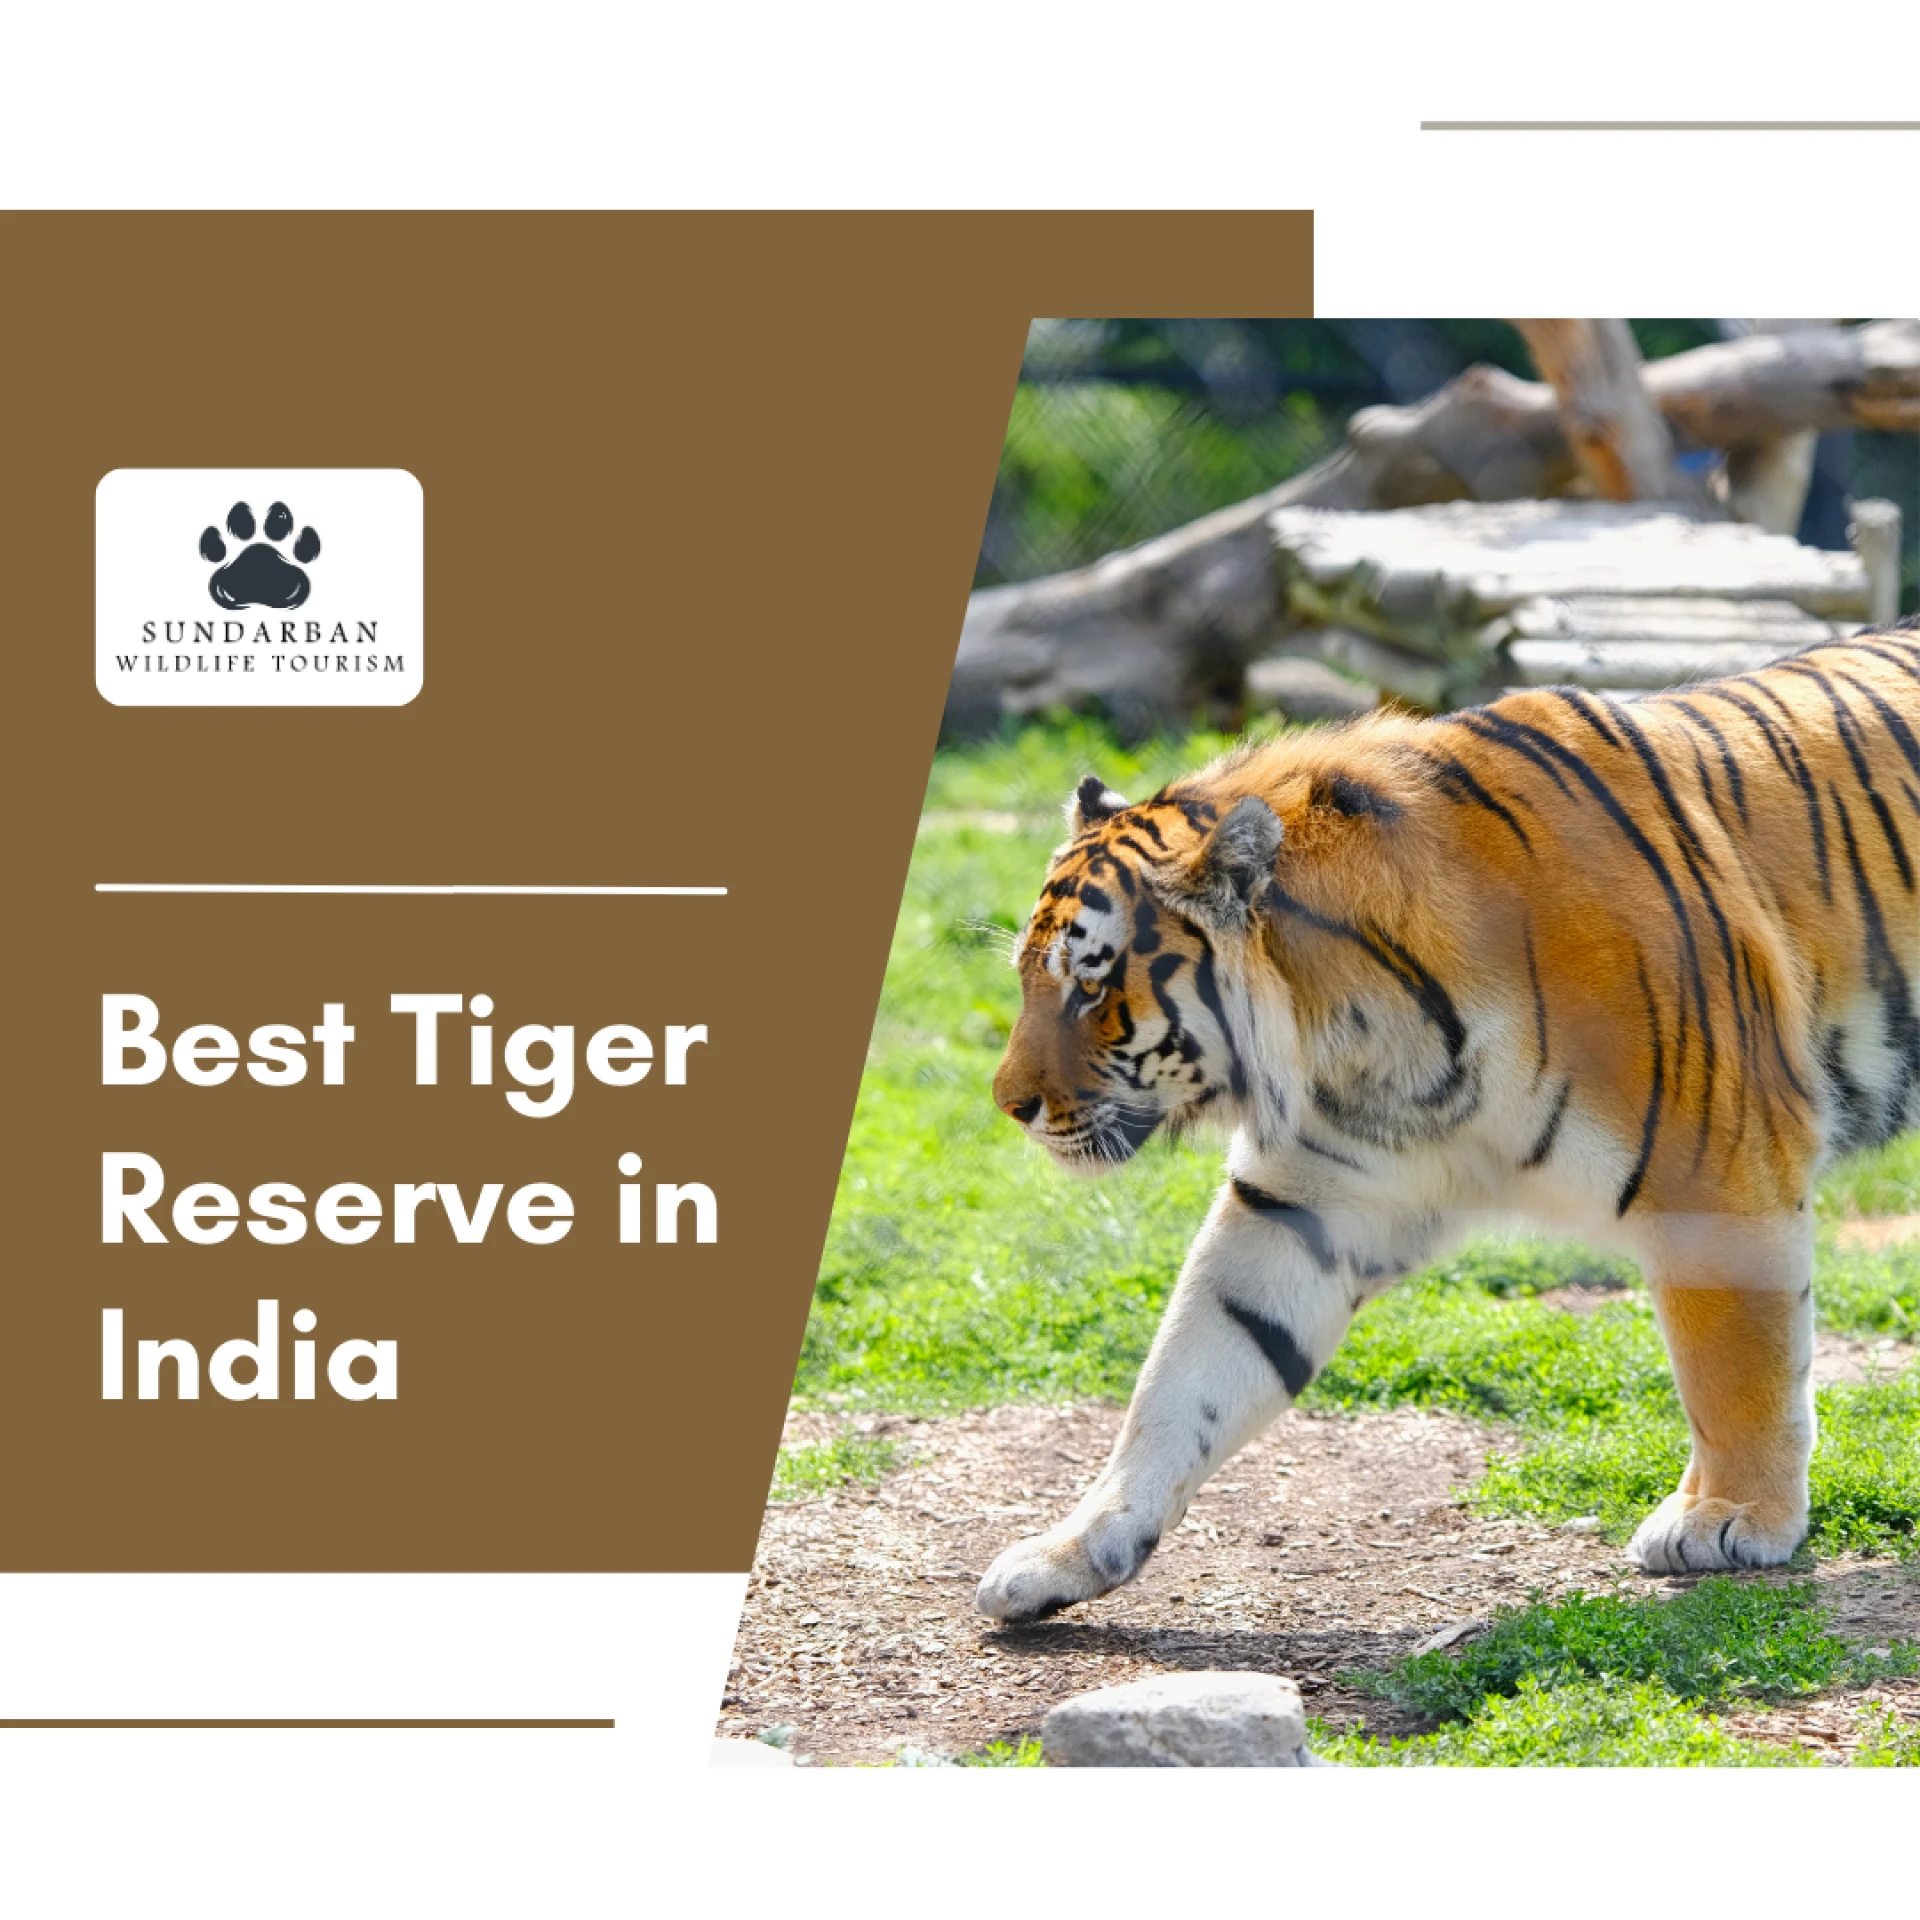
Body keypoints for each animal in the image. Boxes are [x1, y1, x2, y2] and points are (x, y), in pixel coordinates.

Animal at [974, 616, 1920, 1626]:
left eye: (1091, 987)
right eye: (1029, 979)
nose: (1009, 1103)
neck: (1366, 1038)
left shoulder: (1718, 1166)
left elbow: (1736, 1368)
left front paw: (1731, 1518)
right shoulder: (1305, 1200)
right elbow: (1185, 1379)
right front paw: (1071, 1552)